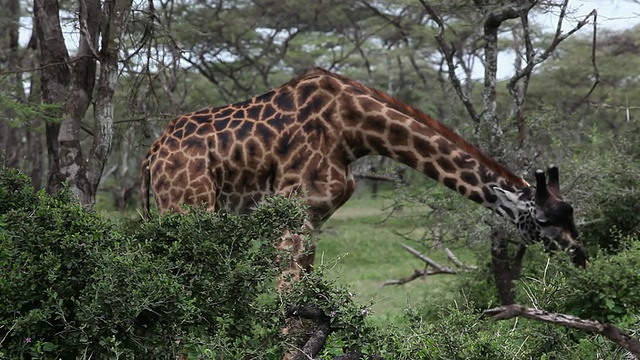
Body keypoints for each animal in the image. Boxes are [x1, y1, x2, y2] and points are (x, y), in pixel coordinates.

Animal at [141, 66, 592, 284]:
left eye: (571, 212)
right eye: (544, 220)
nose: (582, 256)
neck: (354, 128)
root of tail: (151, 157)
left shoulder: (316, 218)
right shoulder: (292, 214)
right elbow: (288, 300)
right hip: (186, 209)